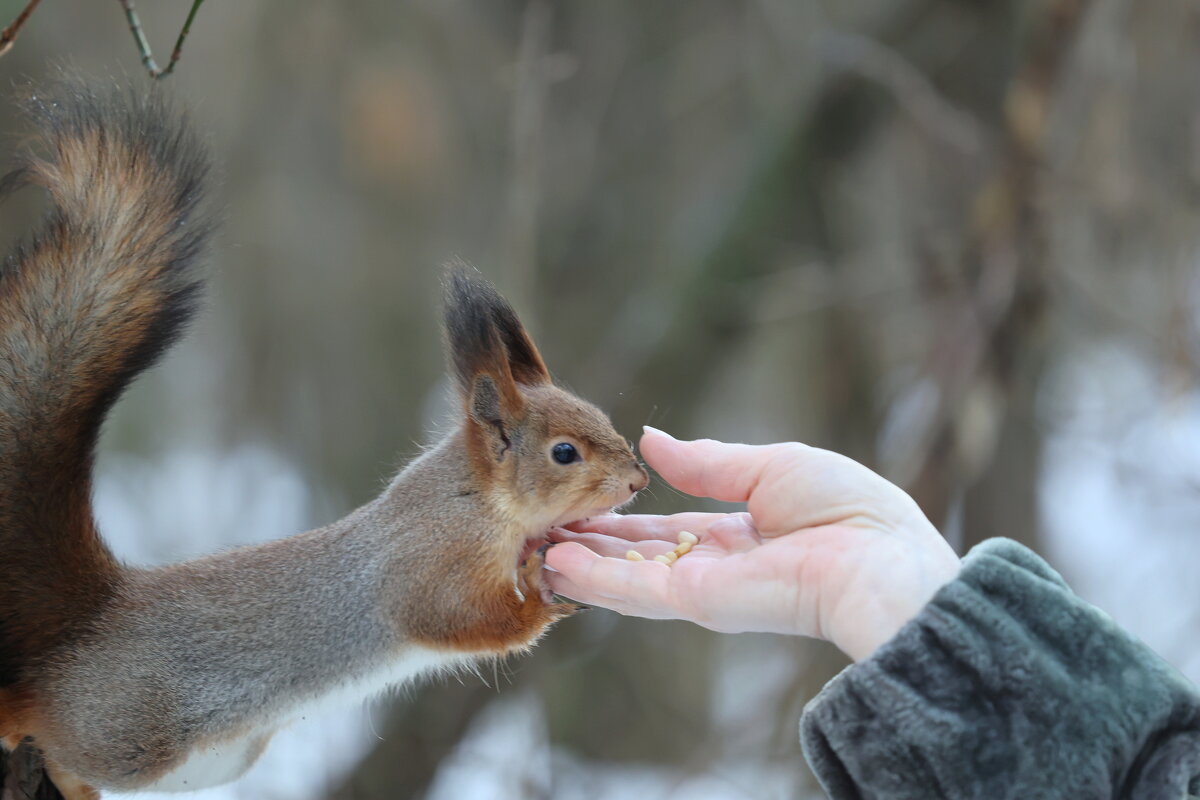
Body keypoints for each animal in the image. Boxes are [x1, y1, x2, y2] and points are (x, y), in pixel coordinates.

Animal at [0, 79, 648, 796]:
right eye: (564, 452)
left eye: (599, 414)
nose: (638, 479)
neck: (479, 501)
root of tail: (83, 631)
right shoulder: (428, 564)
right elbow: (451, 618)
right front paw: (537, 598)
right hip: (129, 731)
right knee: (45, 729)